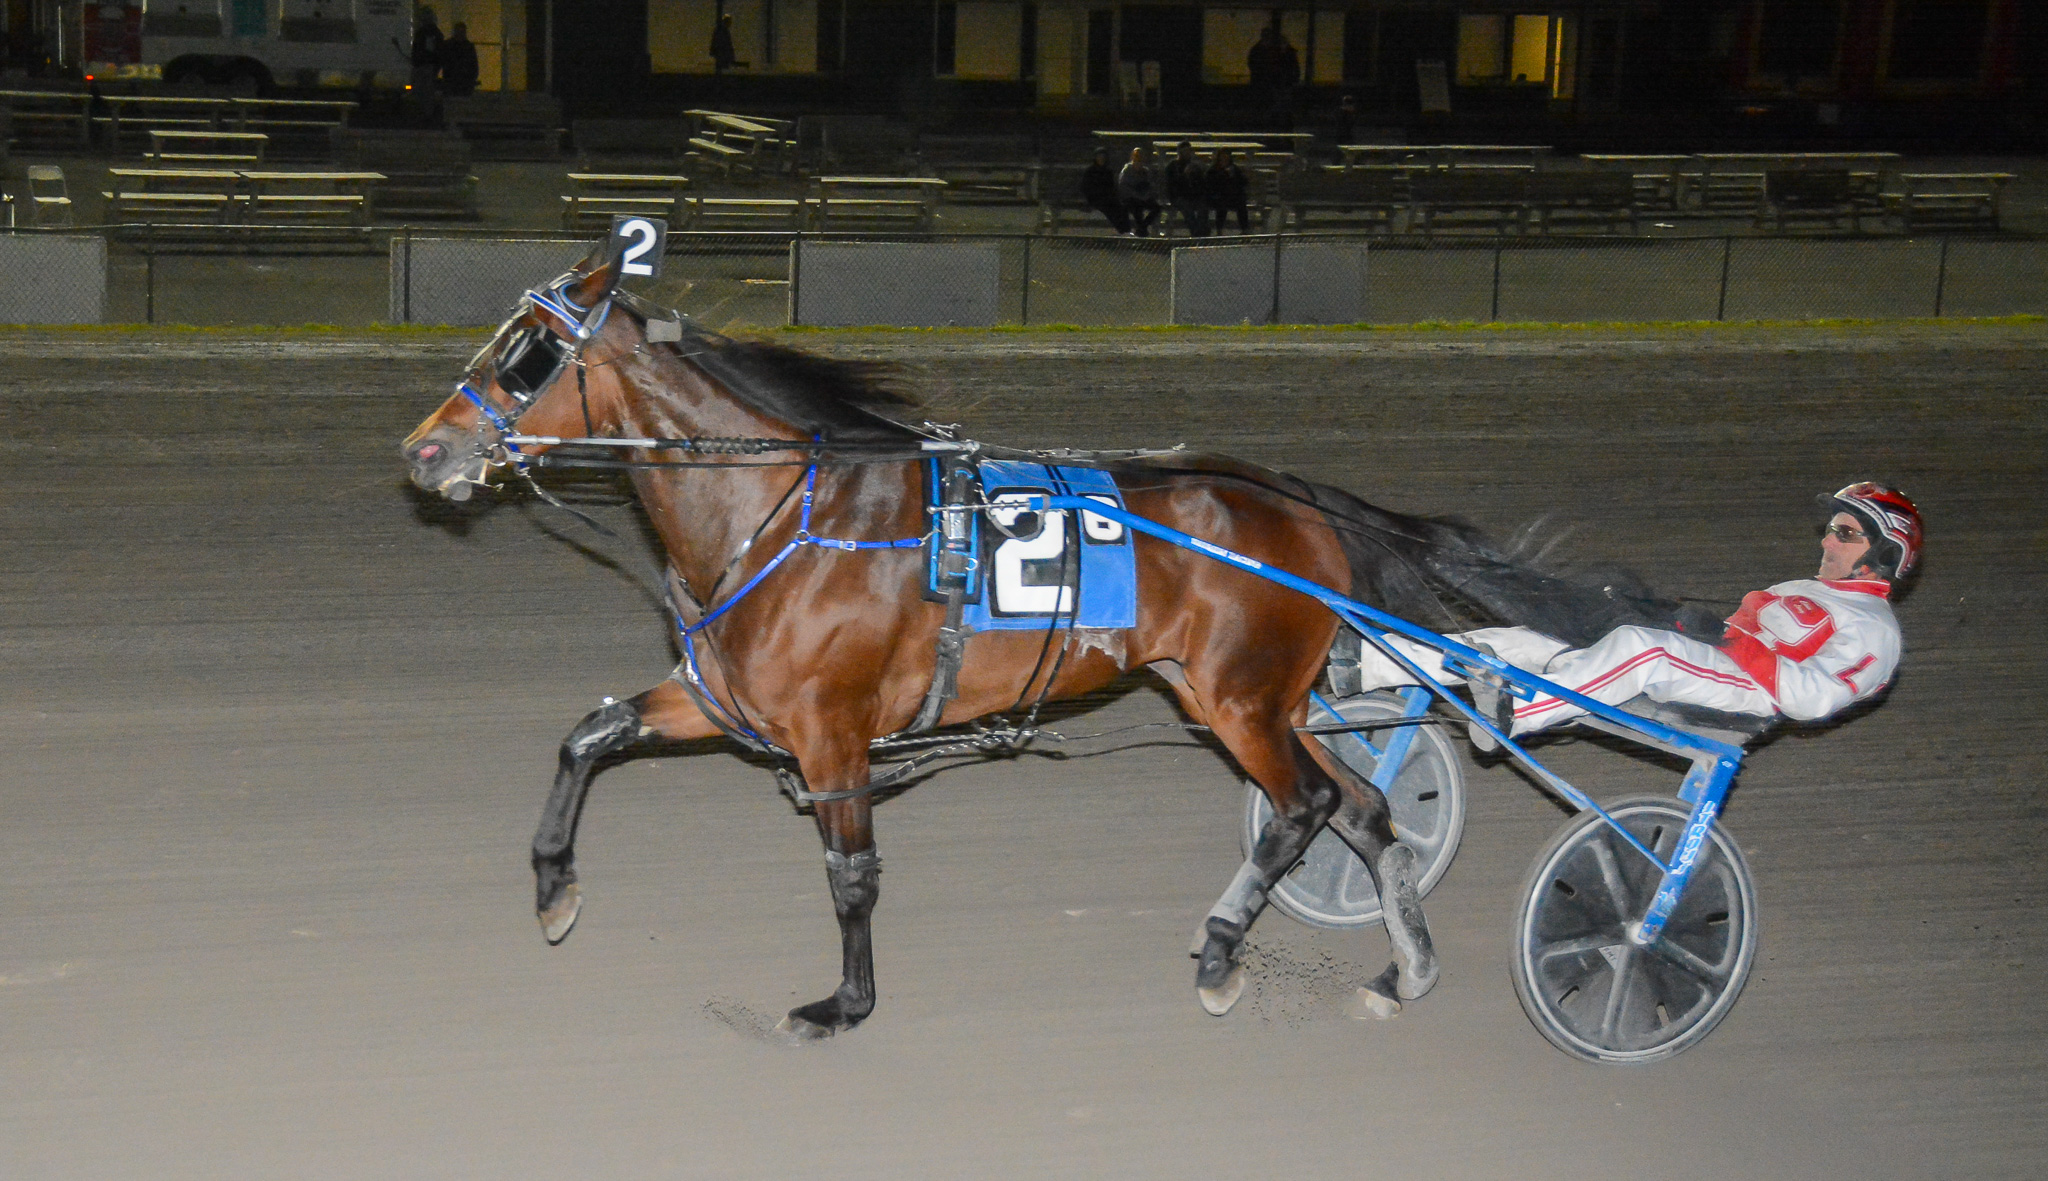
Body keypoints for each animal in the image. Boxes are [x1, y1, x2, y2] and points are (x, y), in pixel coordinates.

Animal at [400, 245, 1675, 1038]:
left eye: (524, 353)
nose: (424, 451)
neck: (782, 510)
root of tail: (1297, 498)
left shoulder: (830, 734)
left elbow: (850, 872)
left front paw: (842, 1005)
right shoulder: (721, 699)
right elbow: (588, 734)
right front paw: (554, 887)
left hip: (1239, 699)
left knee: (1307, 806)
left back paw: (1223, 950)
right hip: (1251, 696)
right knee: (1361, 809)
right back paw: (1401, 969)